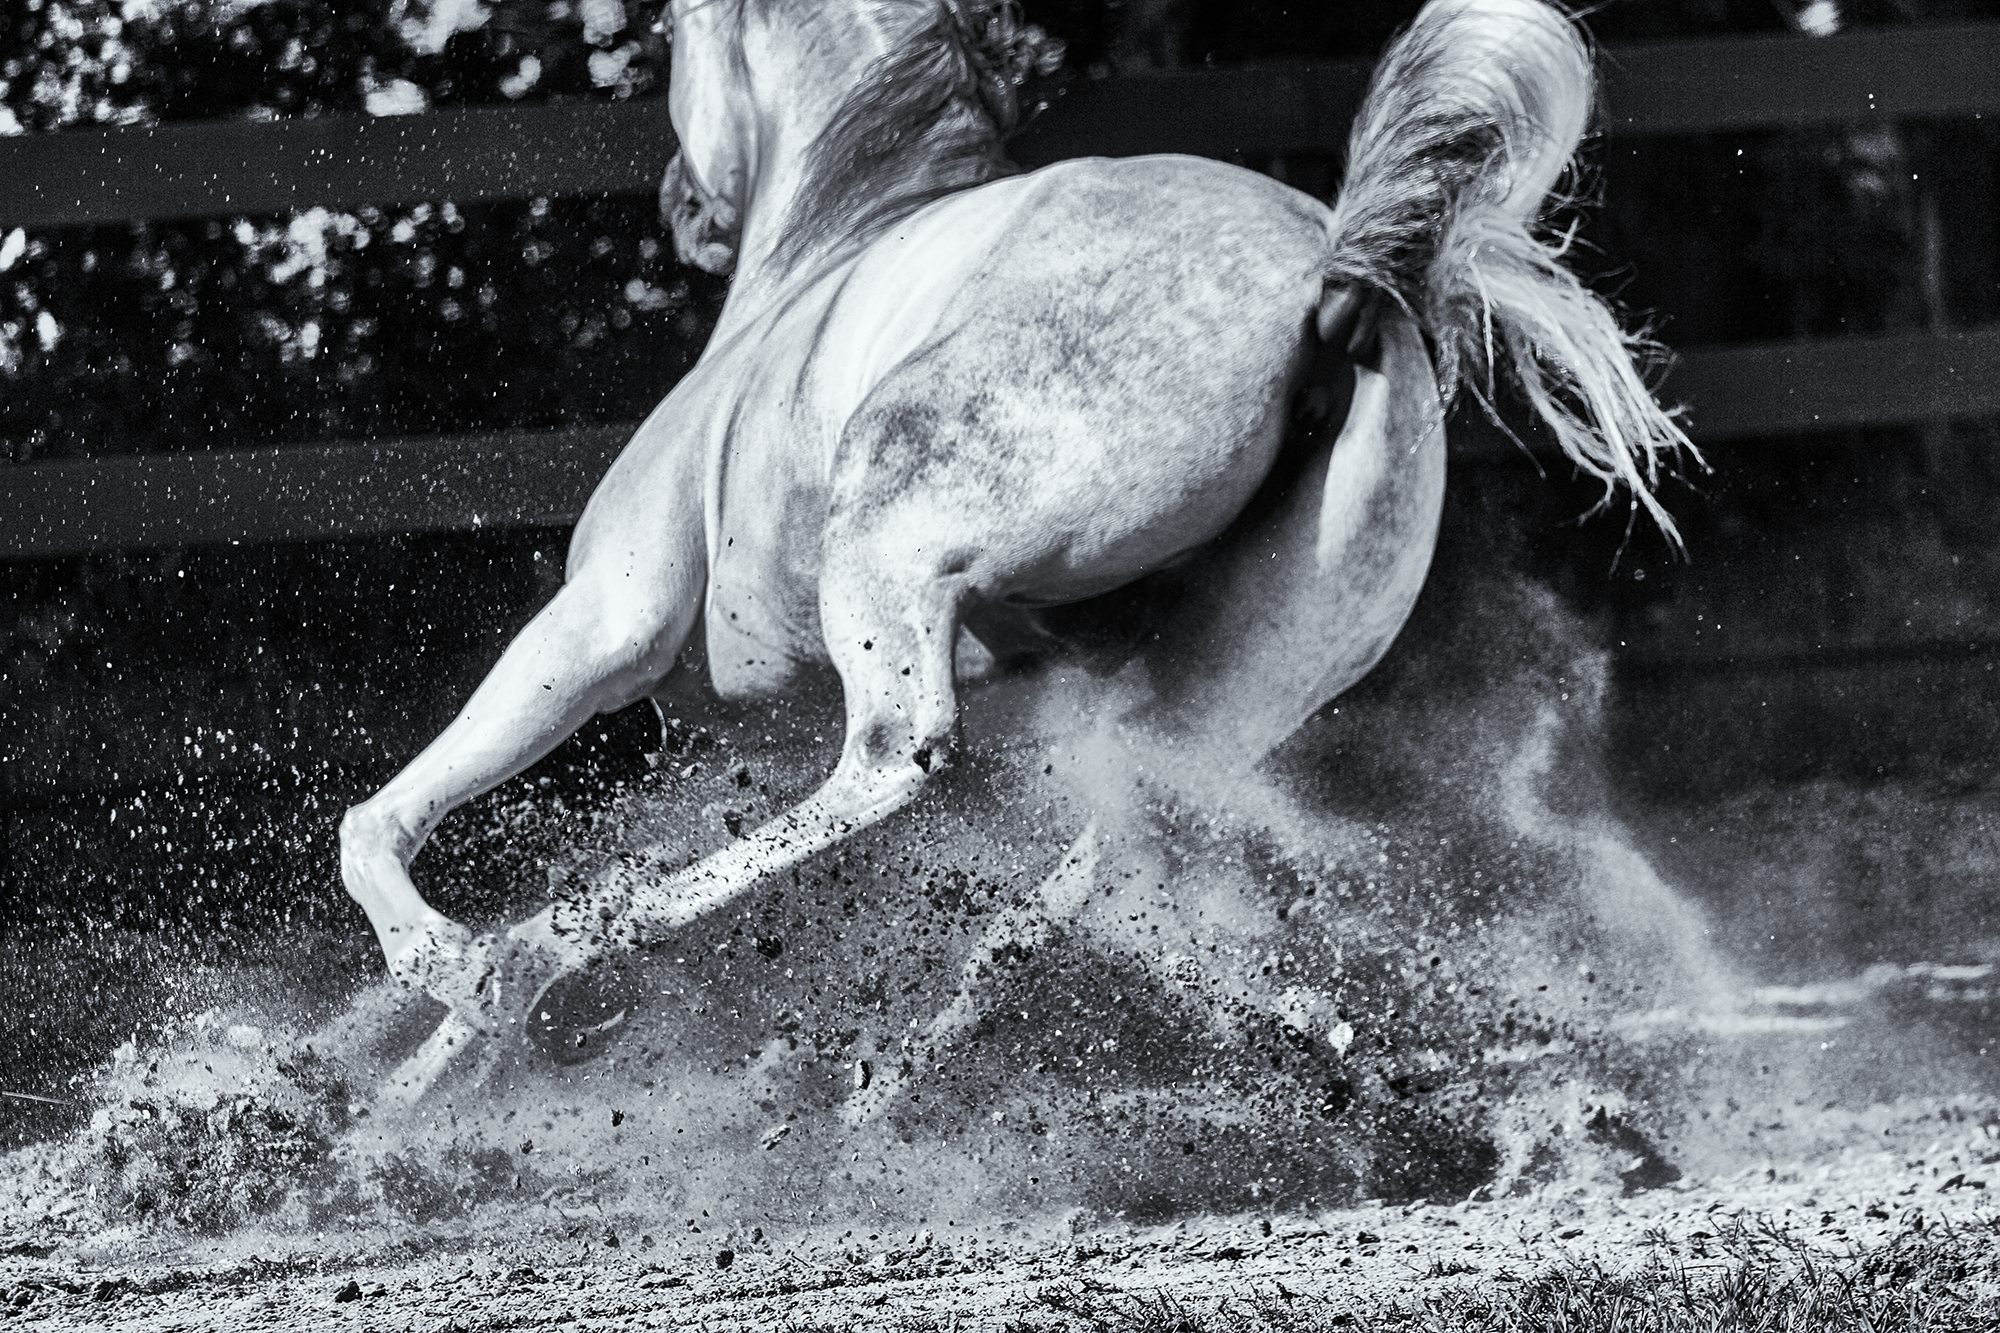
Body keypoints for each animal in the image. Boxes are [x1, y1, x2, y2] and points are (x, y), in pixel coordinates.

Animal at [337, 0, 1688, 1109]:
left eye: (676, 33)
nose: (682, 203)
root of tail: (1334, 275)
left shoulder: (607, 624)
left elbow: (382, 819)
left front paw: (447, 982)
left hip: (888, 550)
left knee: (893, 760)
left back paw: (566, 954)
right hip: (1206, 707)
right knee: (1095, 881)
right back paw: (904, 1082)